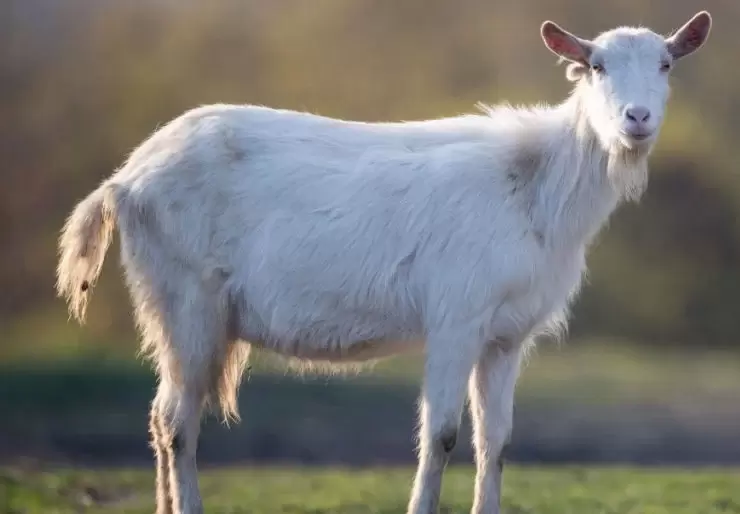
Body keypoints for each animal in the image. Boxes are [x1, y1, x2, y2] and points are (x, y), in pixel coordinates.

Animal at [56, 11, 711, 514]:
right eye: (596, 65)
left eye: (666, 65)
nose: (636, 118)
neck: (536, 187)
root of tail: (124, 181)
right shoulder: (456, 317)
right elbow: (442, 435)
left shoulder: (507, 335)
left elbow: (495, 440)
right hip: (183, 297)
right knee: (175, 421)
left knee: (162, 418)